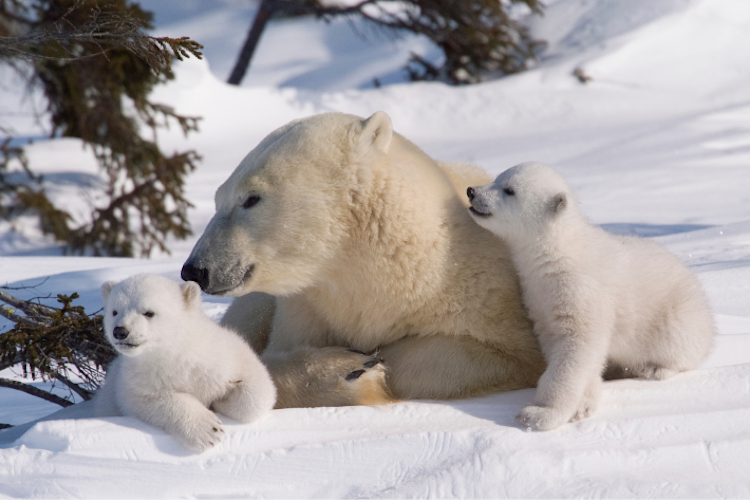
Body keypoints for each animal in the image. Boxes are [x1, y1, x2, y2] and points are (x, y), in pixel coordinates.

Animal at [93, 274, 277, 451]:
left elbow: (257, 388)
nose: (120, 331)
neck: (177, 354)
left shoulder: (223, 356)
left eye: (149, 312)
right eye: (115, 311)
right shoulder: (137, 379)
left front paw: (221, 402)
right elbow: (147, 400)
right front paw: (208, 430)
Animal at [181, 111, 547, 409]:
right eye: (218, 198)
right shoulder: (308, 308)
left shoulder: (485, 296)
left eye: (251, 198)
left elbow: (493, 354)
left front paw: (367, 366)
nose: (195, 269)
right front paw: (346, 369)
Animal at [467, 162, 716, 430]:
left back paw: (656, 369)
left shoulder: (580, 290)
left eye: (509, 190)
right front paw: (583, 405)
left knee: (678, 345)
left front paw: (539, 413)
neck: (558, 253)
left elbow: (577, 345)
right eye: (497, 178)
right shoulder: (539, 296)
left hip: (677, 316)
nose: (471, 191)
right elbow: (564, 346)